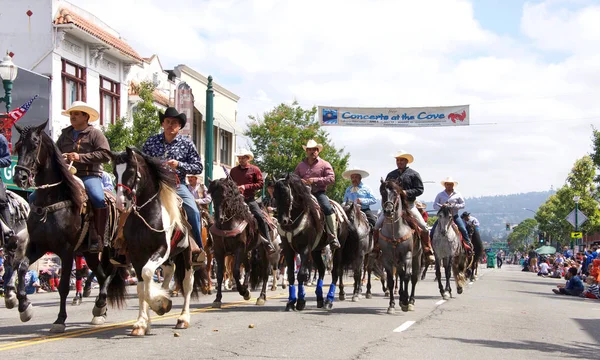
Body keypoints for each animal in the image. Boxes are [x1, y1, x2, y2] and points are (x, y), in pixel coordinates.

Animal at [10, 120, 119, 332]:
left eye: (35, 145)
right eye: (18, 146)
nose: (20, 177)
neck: (50, 201)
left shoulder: (66, 251)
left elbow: (62, 287)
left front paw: (60, 320)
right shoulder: (39, 246)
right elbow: (22, 268)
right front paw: (24, 307)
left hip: (111, 249)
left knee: (110, 273)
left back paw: (100, 304)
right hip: (90, 253)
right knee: (102, 275)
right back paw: (100, 310)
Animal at [109, 146, 200, 334]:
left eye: (131, 171)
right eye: (114, 172)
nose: (121, 203)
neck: (148, 213)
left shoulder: (162, 249)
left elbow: (147, 274)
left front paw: (160, 304)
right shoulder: (136, 255)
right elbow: (141, 287)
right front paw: (142, 322)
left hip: (186, 254)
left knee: (188, 282)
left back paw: (183, 318)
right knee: (169, 271)